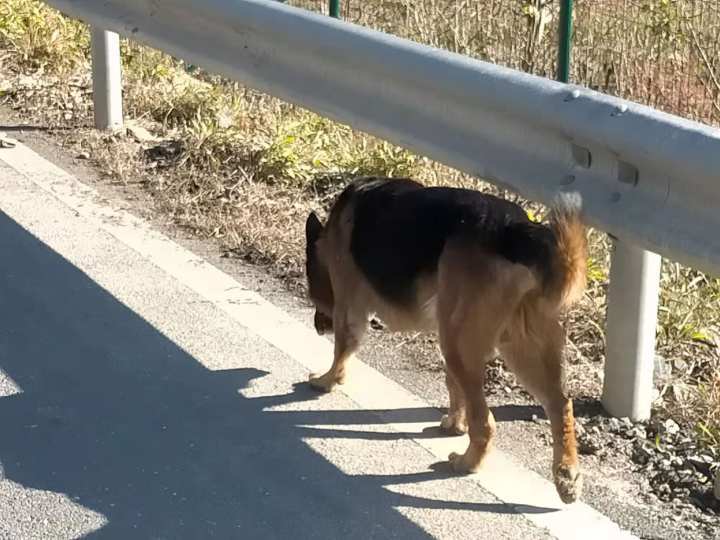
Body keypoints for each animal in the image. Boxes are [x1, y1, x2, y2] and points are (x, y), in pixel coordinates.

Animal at [302, 176, 584, 502]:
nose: (317, 327)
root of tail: (517, 230)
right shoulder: (445, 324)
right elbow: (452, 384)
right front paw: (454, 423)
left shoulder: (349, 305)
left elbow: (342, 348)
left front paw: (327, 380)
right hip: (512, 344)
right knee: (560, 403)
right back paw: (567, 476)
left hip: (463, 343)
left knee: (486, 423)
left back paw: (467, 463)